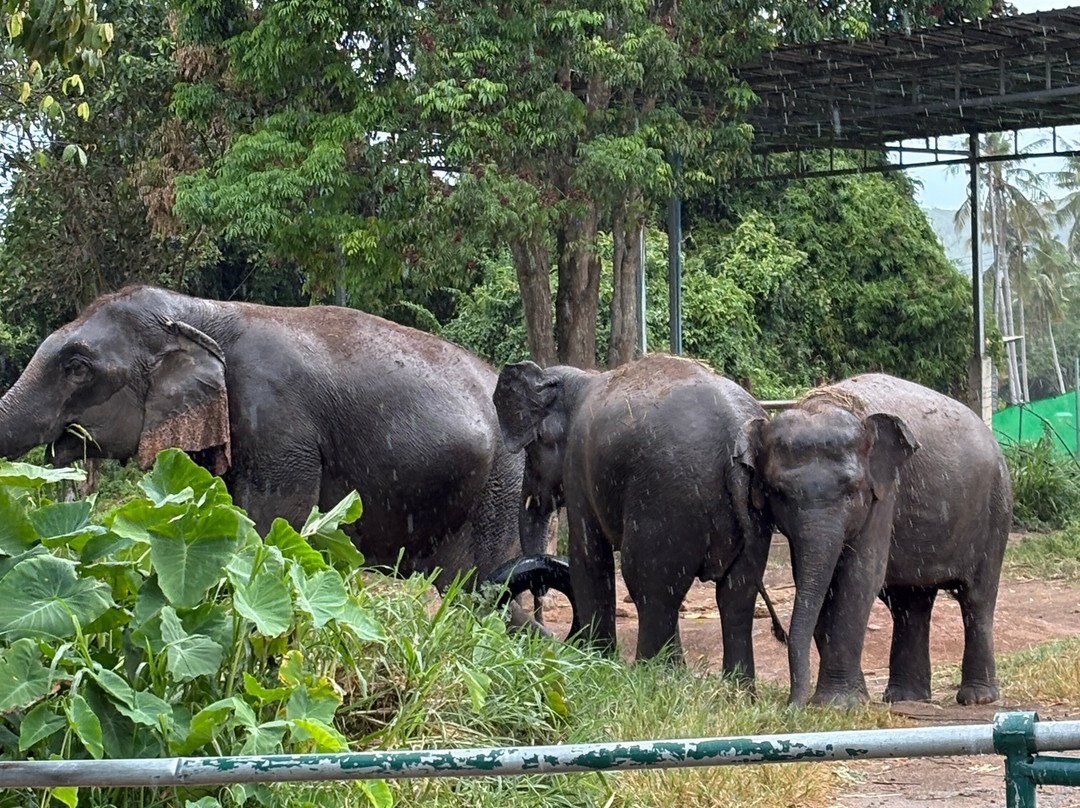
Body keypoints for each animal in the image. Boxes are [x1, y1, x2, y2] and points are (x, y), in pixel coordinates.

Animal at [493, 354, 774, 678]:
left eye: (532, 449)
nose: (539, 591)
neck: (580, 378)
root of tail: (735, 437)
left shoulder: (579, 463)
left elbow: (588, 554)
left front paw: (596, 660)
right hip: (751, 513)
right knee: (736, 594)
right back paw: (731, 685)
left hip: (667, 500)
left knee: (649, 583)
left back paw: (652, 674)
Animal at [738, 373, 1012, 707]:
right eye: (778, 492)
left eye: (852, 490)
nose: (793, 705)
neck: (829, 401)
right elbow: (823, 583)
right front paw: (849, 700)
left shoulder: (884, 494)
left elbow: (858, 579)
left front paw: (837, 704)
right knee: (910, 603)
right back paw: (905, 698)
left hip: (995, 509)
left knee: (977, 597)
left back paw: (976, 698)